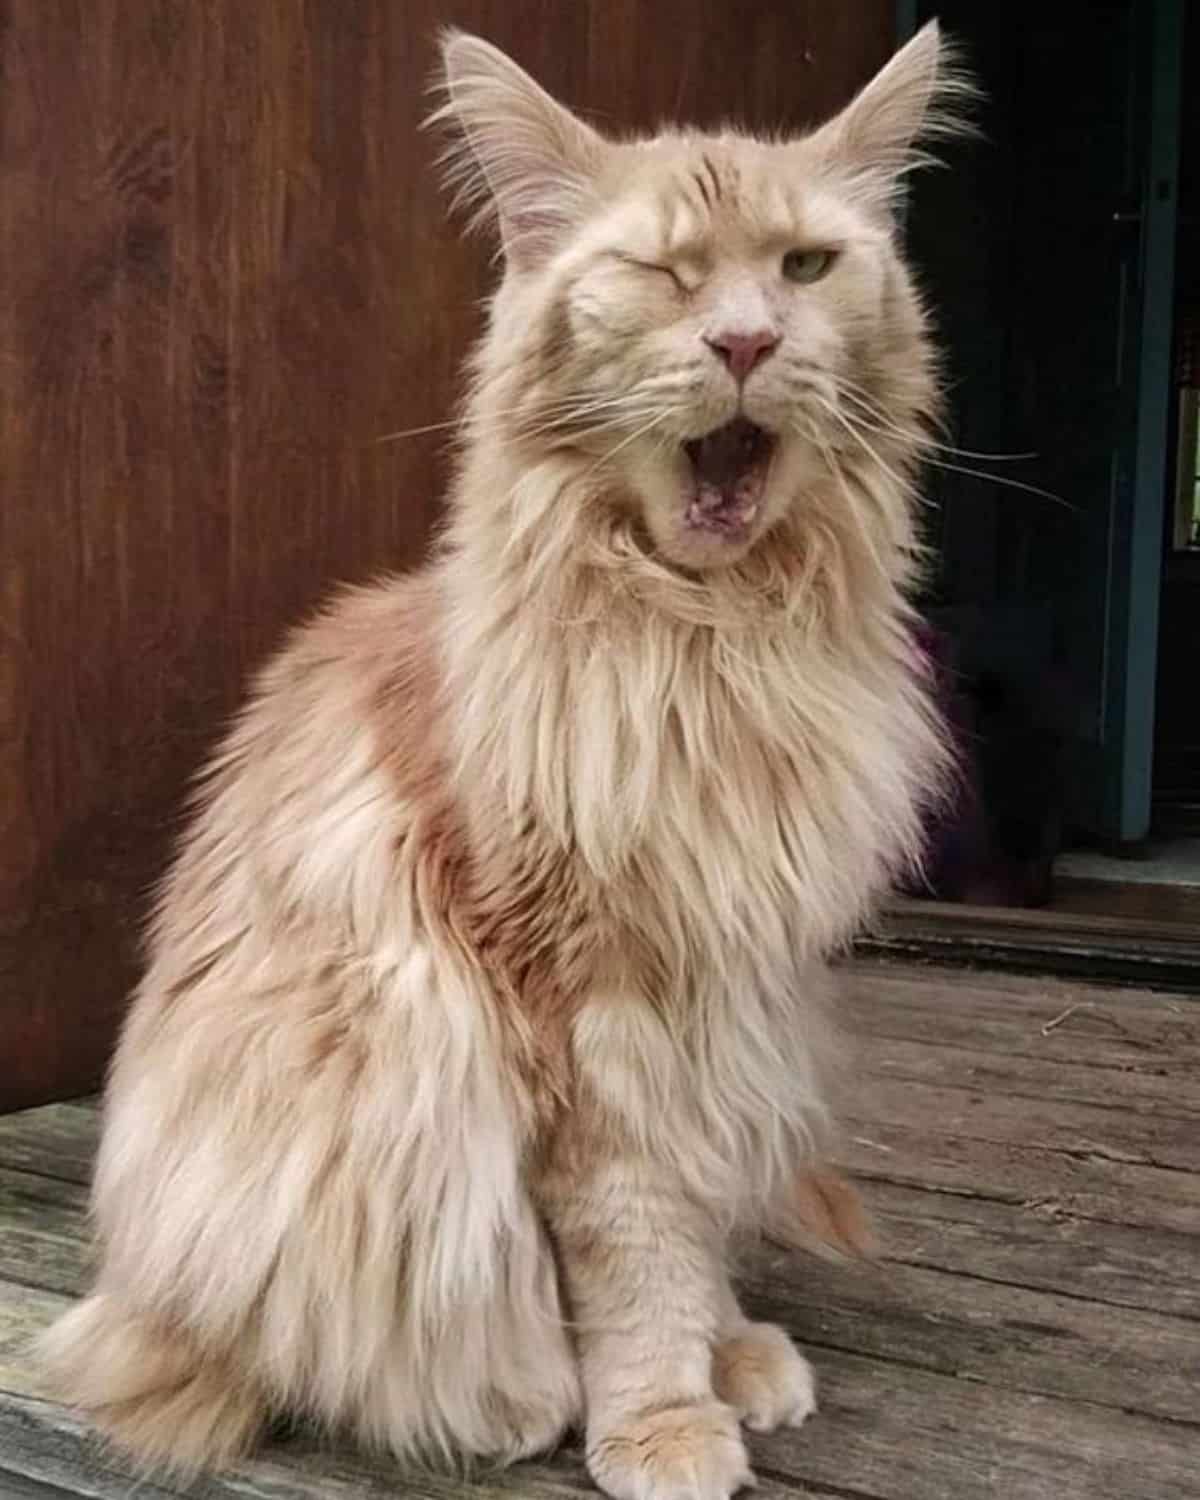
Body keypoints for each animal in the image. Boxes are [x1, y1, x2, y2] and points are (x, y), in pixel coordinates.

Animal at [37, 23, 966, 1500]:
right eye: (665, 274)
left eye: (806, 268)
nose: (747, 339)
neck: (712, 652)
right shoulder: (588, 999)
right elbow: (636, 1247)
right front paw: (657, 1417)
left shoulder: (730, 992)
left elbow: (699, 1213)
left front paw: (722, 1352)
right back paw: (513, 1405)